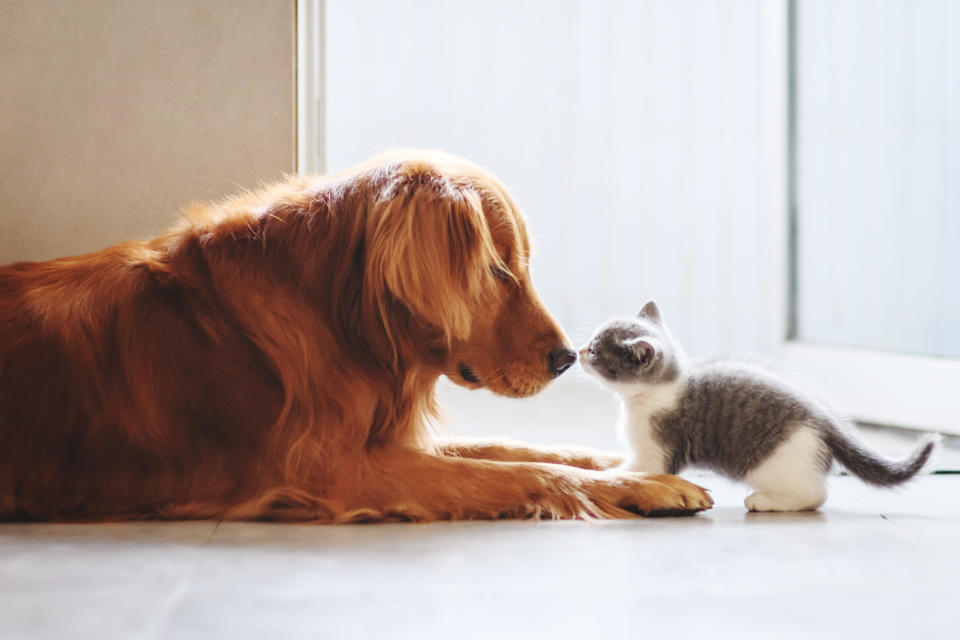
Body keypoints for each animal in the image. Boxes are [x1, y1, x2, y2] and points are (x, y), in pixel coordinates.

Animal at [0, 152, 712, 524]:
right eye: (496, 269)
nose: (568, 359)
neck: (340, 320)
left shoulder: (381, 439)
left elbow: (514, 449)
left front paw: (624, 466)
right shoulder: (332, 469)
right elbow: (517, 472)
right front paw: (643, 488)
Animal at [580, 302, 940, 516]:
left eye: (596, 350)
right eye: (591, 342)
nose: (581, 350)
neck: (652, 393)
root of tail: (826, 421)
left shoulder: (658, 447)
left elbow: (639, 470)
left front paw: (606, 476)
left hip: (774, 462)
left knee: (814, 494)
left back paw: (764, 501)